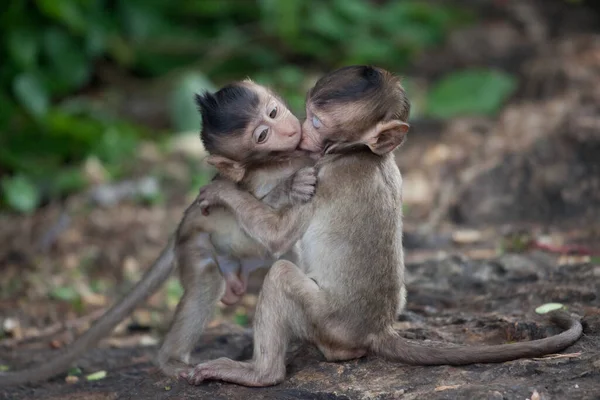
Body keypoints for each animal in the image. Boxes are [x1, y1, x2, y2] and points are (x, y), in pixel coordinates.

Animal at [184, 65, 580, 388]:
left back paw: (261, 374)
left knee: (281, 274)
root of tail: (377, 330)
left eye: (316, 122)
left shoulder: (323, 175)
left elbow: (277, 237)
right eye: (305, 114)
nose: (300, 131)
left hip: (328, 320)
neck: (360, 153)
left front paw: (222, 191)